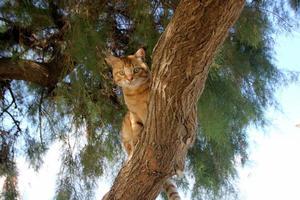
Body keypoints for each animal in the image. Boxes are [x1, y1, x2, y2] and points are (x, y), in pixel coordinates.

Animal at [105, 48, 180, 200]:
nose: (129, 78)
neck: (136, 94)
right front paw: (138, 141)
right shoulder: (134, 115)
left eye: (136, 70)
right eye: (122, 72)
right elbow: (137, 130)